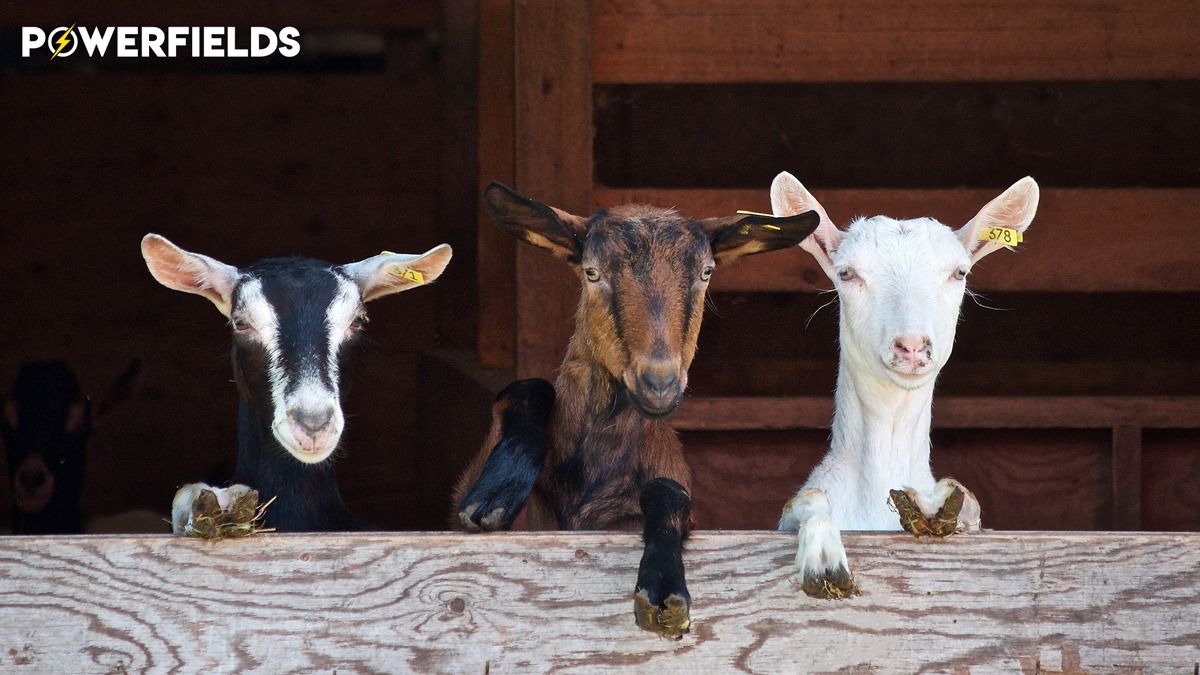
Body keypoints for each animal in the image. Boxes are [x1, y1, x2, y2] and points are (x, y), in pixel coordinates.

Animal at [453, 181, 820, 637]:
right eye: (591, 272)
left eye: (706, 273)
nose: (659, 383)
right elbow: (526, 389)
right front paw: (496, 493)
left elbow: (668, 492)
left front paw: (663, 588)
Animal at [771, 172, 1038, 596]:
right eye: (846, 273)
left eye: (960, 273)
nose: (912, 346)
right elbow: (807, 499)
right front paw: (824, 561)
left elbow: (967, 501)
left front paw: (934, 504)